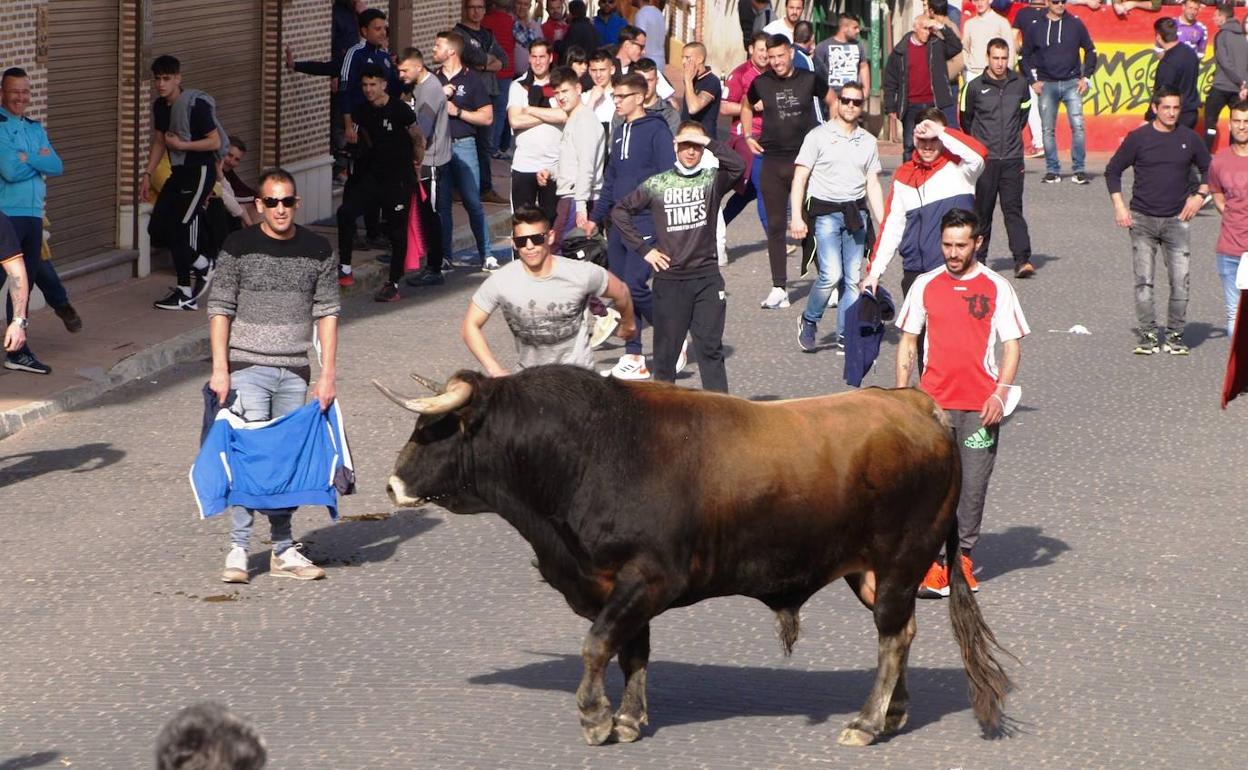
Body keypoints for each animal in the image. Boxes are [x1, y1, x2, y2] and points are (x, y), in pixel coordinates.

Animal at [374, 364, 1008, 743]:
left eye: (433, 429)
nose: (391, 485)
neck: (589, 452)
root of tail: (917, 406)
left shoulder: (647, 580)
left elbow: (597, 645)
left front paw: (594, 717)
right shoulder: (620, 588)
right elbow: (631, 653)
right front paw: (629, 718)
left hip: (901, 560)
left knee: (893, 635)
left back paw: (868, 721)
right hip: (871, 572)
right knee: (900, 634)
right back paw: (893, 712)